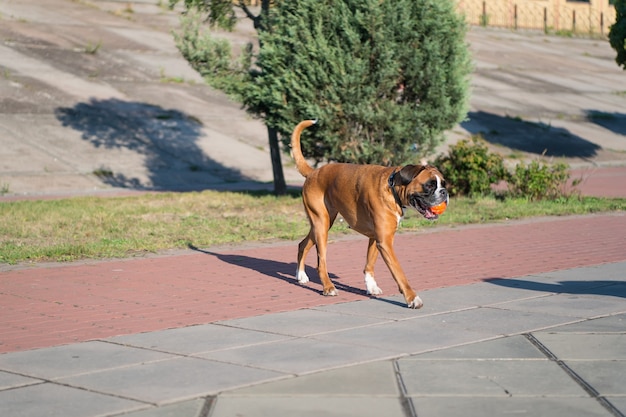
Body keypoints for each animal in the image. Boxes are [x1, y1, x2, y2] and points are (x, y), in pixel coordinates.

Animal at [290, 118, 446, 308]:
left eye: (443, 183)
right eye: (429, 186)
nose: (444, 192)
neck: (392, 187)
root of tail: (314, 172)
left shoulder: (376, 238)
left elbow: (369, 264)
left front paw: (371, 287)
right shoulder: (385, 242)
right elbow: (399, 272)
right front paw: (411, 297)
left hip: (321, 224)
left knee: (303, 244)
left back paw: (301, 275)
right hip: (321, 225)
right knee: (321, 262)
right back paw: (327, 287)